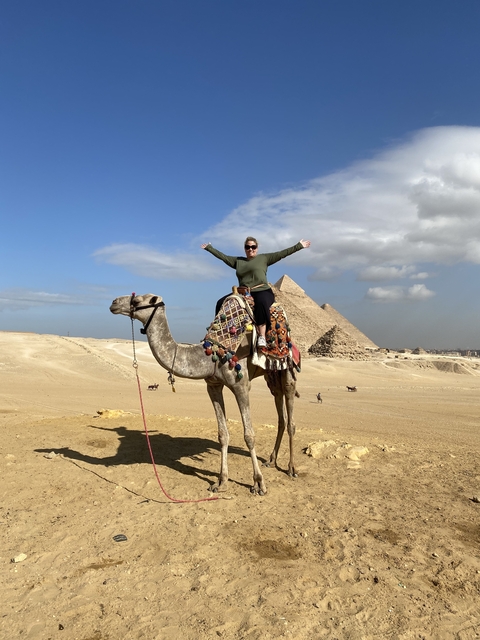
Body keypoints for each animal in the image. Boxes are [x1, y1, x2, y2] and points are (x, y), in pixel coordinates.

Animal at [110, 293, 298, 495]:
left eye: (137, 301)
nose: (113, 303)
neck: (210, 355)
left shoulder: (241, 385)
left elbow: (249, 435)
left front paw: (259, 483)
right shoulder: (213, 386)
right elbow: (222, 434)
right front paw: (221, 481)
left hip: (287, 367)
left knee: (290, 413)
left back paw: (291, 468)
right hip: (272, 373)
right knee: (280, 409)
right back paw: (271, 460)